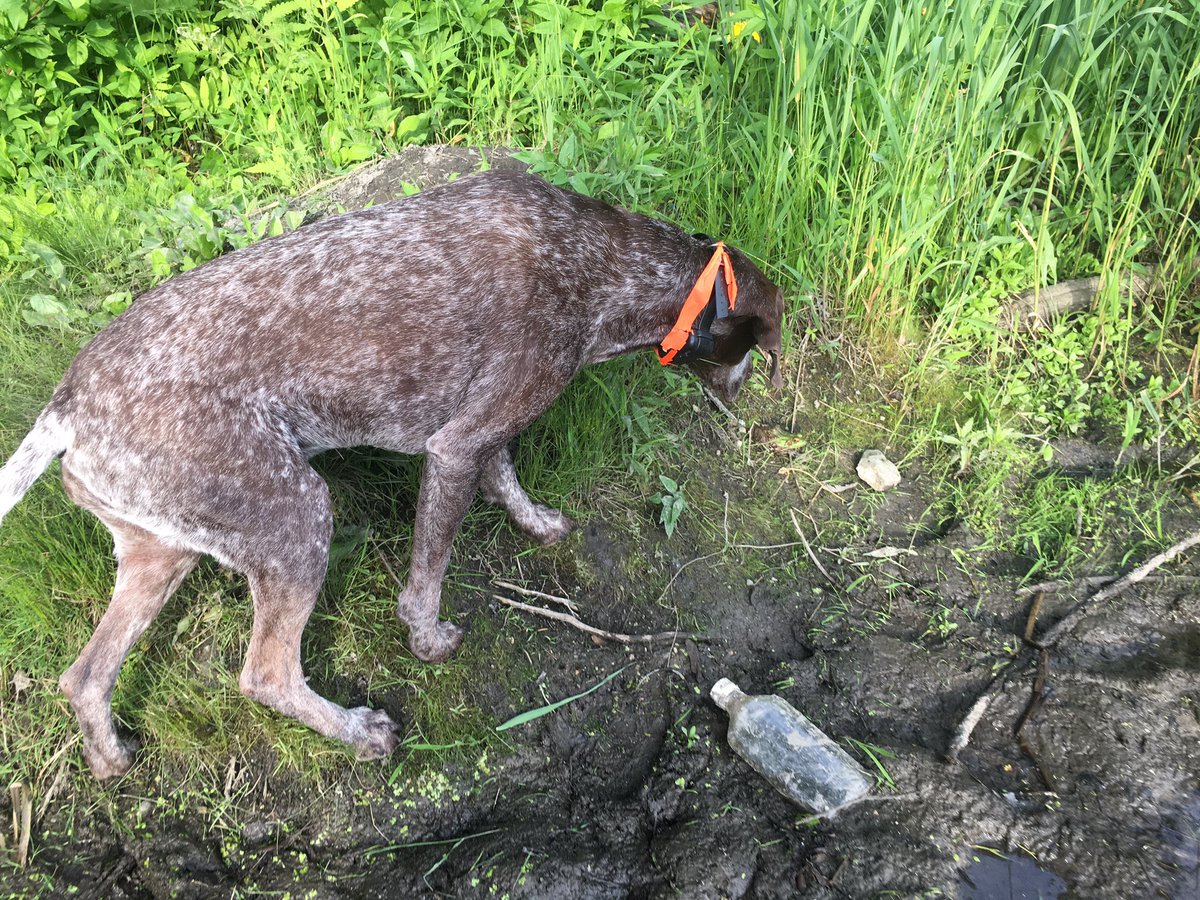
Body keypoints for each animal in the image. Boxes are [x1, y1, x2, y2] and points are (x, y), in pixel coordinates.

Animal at [0, 172, 782, 777]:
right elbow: (427, 578)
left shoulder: (482, 432)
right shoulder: (456, 447)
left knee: (84, 677)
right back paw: (357, 732)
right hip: (295, 515)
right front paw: (427, 641)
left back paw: (108, 758)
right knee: (265, 674)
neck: (605, 264)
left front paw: (535, 522)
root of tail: (67, 406)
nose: (747, 397)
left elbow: (508, 478)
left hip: (161, 552)